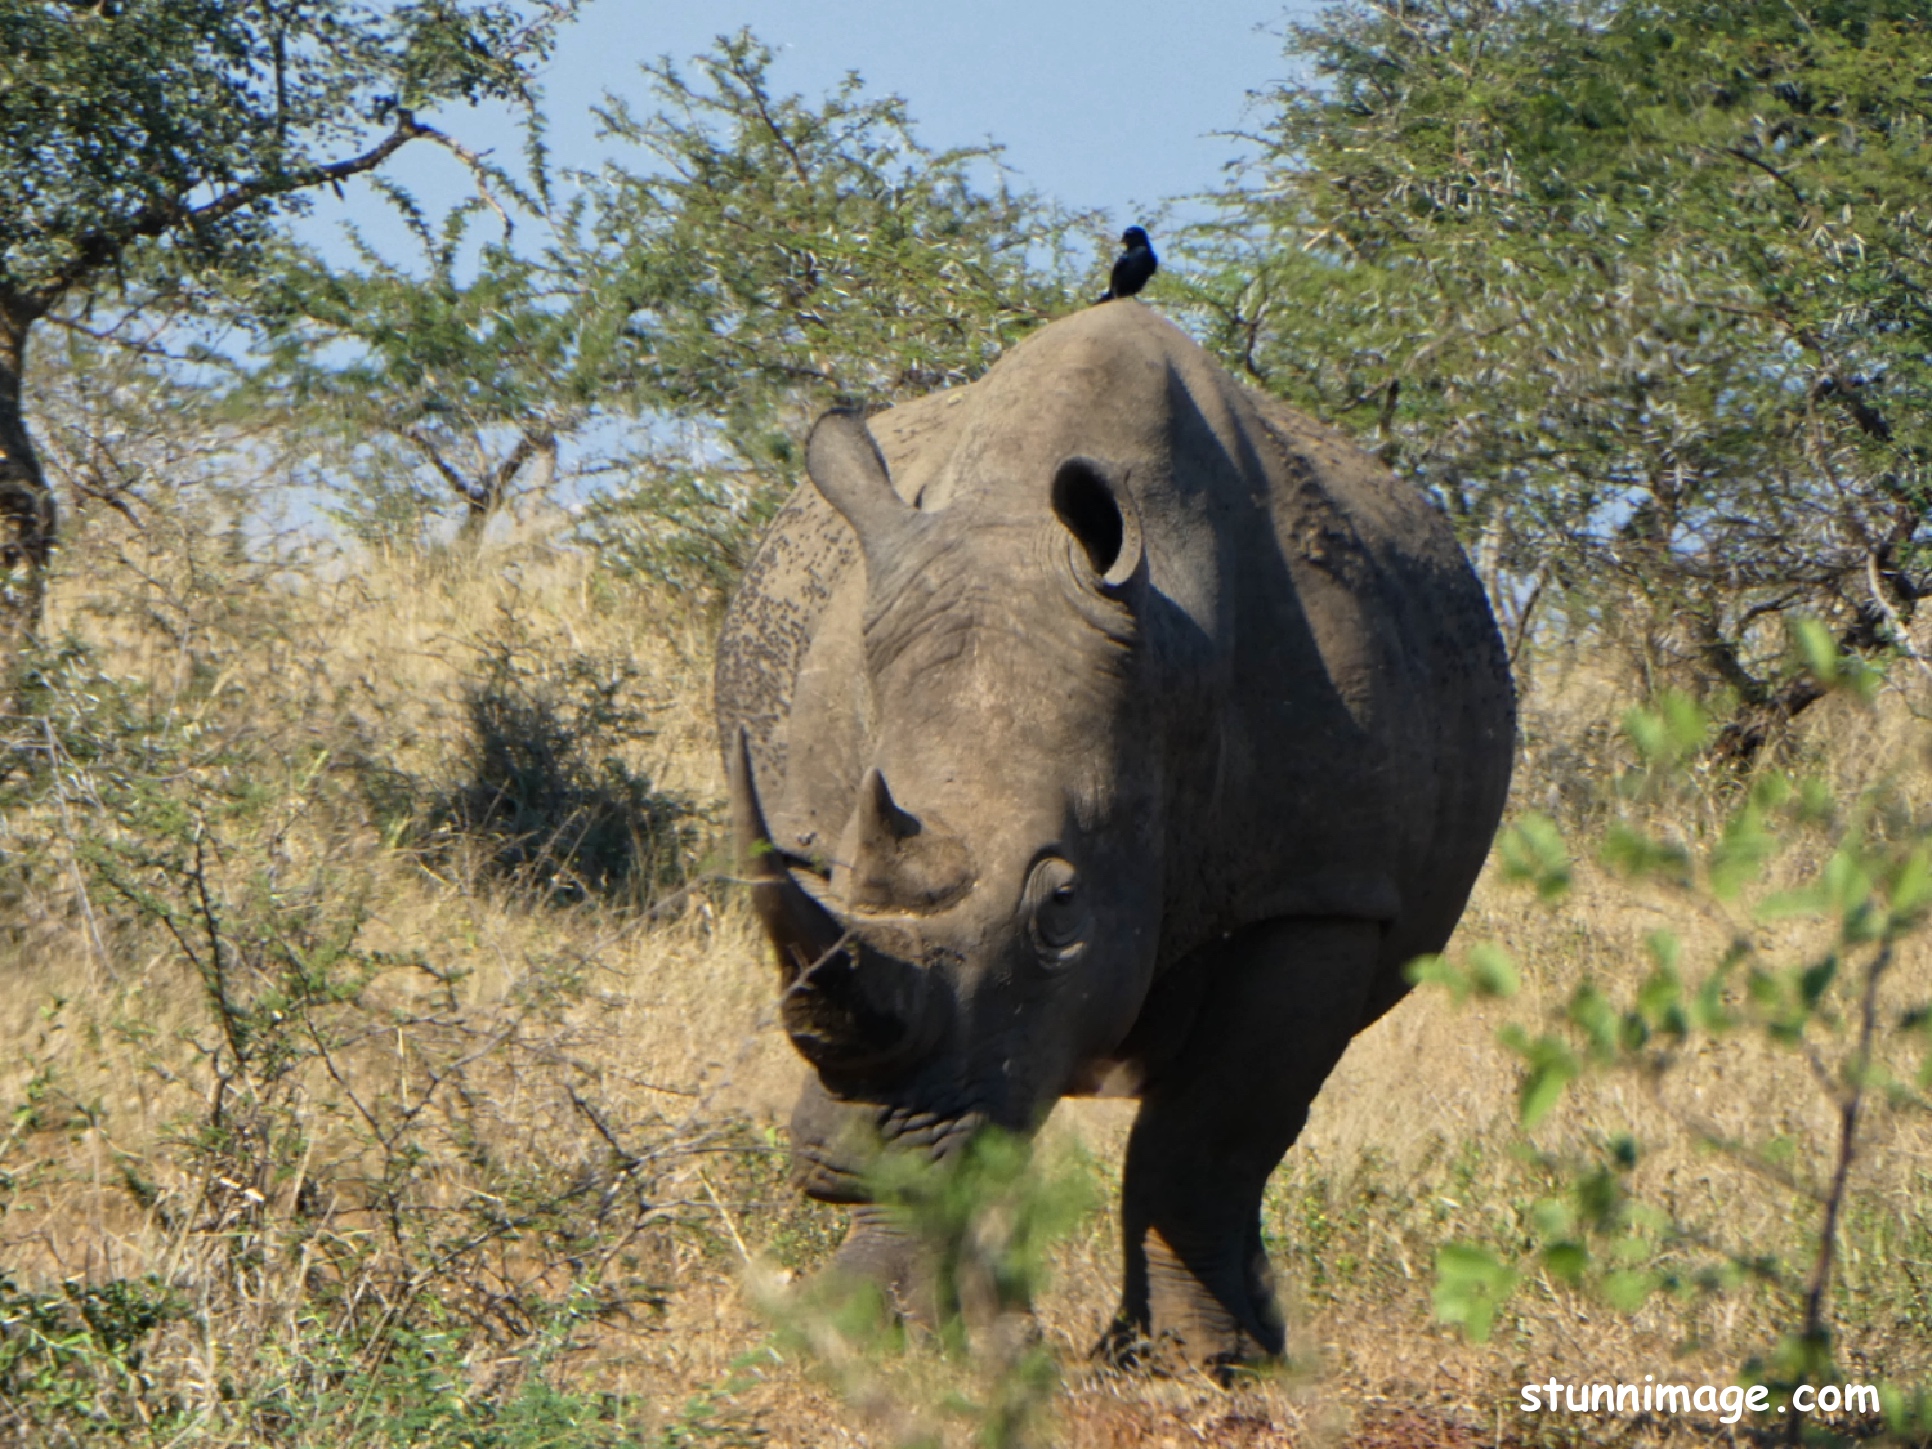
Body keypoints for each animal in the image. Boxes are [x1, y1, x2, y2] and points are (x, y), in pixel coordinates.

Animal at [714, 300, 1515, 1371]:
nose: (838, 1165)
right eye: (825, 866)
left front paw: (1203, 1364)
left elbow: (1211, 1133)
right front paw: (876, 1341)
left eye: (1061, 908)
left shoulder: (1320, 889)